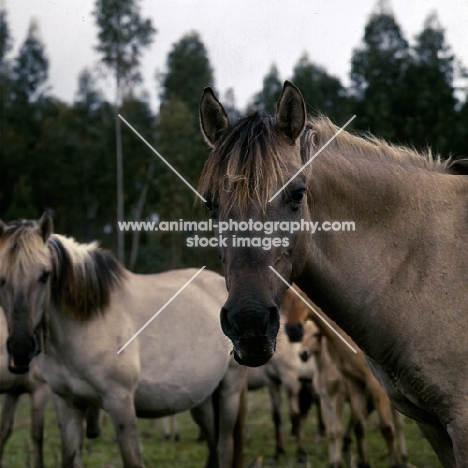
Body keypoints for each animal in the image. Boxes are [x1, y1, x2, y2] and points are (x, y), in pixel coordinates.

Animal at [0, 215, 247, 468]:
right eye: (1, 279)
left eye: (45, 275)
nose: (20, 348)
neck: (87, 323)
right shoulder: (66, 404)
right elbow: (70, 457)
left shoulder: (120, 403)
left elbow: (132, 459)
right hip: (202, 399)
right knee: (212, 444)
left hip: (229, 390)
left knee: (224, 447)